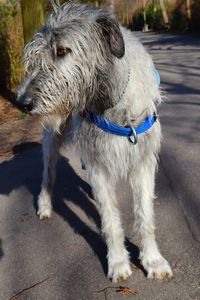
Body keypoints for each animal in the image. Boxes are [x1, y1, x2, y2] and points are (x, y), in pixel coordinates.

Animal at [15, 0, 173, 282]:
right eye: (35, 56)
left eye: (62, 50)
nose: (21, 102)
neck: (110, 101)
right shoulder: (99, 164)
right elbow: (110, 222)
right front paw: (119, 262)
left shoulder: (142, 159)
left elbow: (146, 217)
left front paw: (153, 261)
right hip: (52, 138)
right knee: (47, 173)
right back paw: (45, 204)